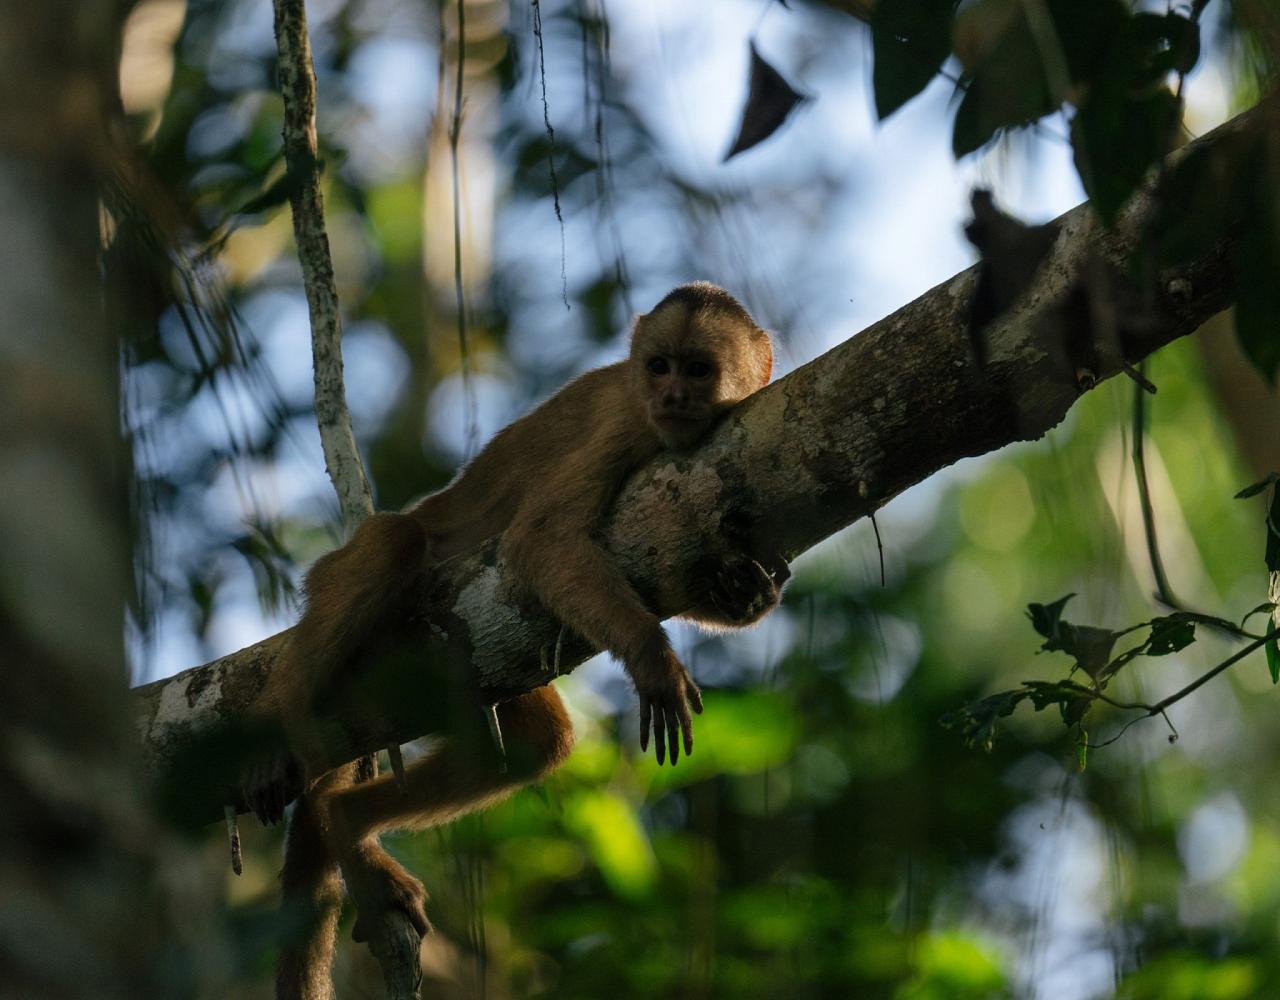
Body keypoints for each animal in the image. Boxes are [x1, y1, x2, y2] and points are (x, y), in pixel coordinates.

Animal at [244, 282, 783, 998]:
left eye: (697, 370)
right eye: (659, 367)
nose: (671, 396)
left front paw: (742, 590)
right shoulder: (627, 423)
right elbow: (540, 540)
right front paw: (651, 657)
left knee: (529, 744)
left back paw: (347, 823)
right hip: (346, 589)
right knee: (393, 544)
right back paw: (283, 727)